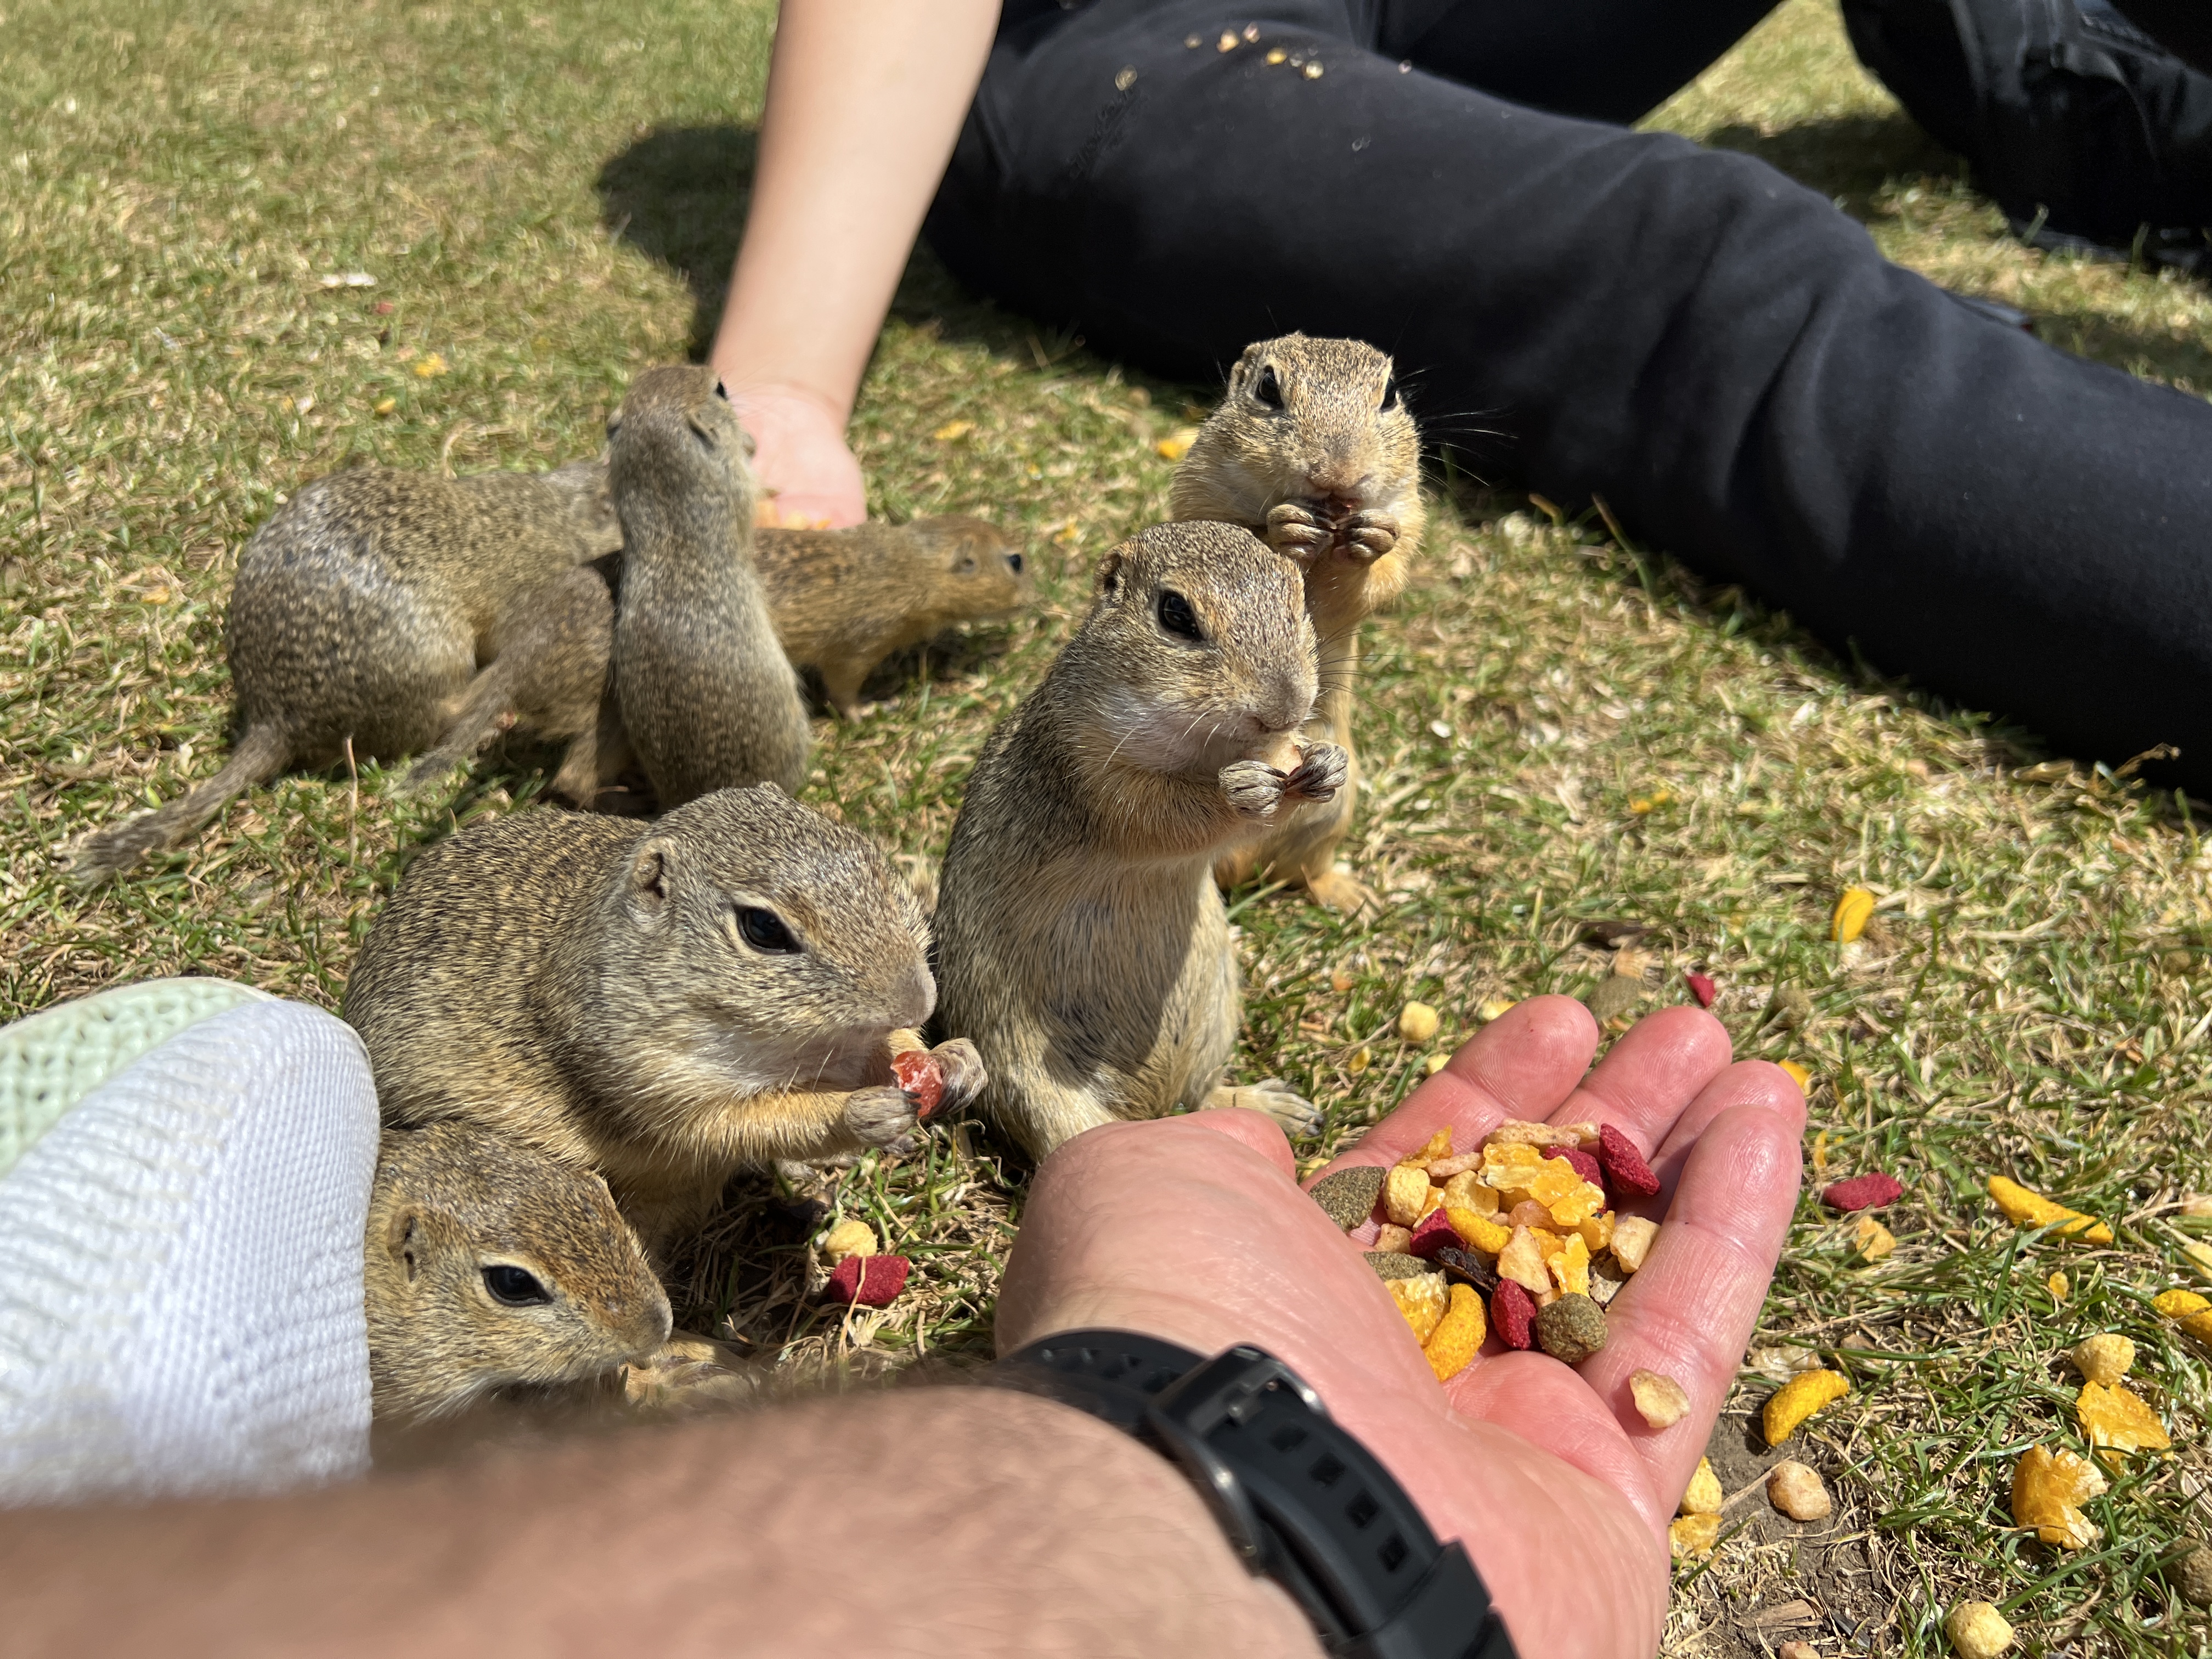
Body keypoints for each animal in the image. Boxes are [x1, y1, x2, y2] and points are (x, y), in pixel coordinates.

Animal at [342, 784, 986, 1254]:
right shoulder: (656, 1080)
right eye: (763, 929)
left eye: (874, 862)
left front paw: (958, 1061)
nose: (919, 1000)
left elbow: (891, 1048)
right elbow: (745, 1124)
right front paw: (860, 1112)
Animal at [756, 516, 1033, 717]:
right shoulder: (855, 652)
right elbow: (843, 692)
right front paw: (867, 711)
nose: (1033, 599)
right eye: (1016, 561)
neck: (910, 566)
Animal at [931, 521, 1344, 1162]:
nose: (1284, 707)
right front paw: (1242, 792)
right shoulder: (1088, 769)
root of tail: (1149, 1106)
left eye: (1300, 598)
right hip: (1034, 1085)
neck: (1210, 749)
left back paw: (1271, 1106)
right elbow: (1162, 815)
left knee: (1200, 1097)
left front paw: (1326, 761)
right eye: (1175, 614)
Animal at [1169, 334, 1424, 912]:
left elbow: (1382, 576)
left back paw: (1349, 897)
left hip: (1333, 813)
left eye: (1391, 395)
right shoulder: (1197, 491)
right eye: (1268, 388)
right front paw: (1286, 527)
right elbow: (1227, 529)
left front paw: (1370, 541)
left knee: (1301, 870)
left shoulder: (1409, 513)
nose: (1338, 477)